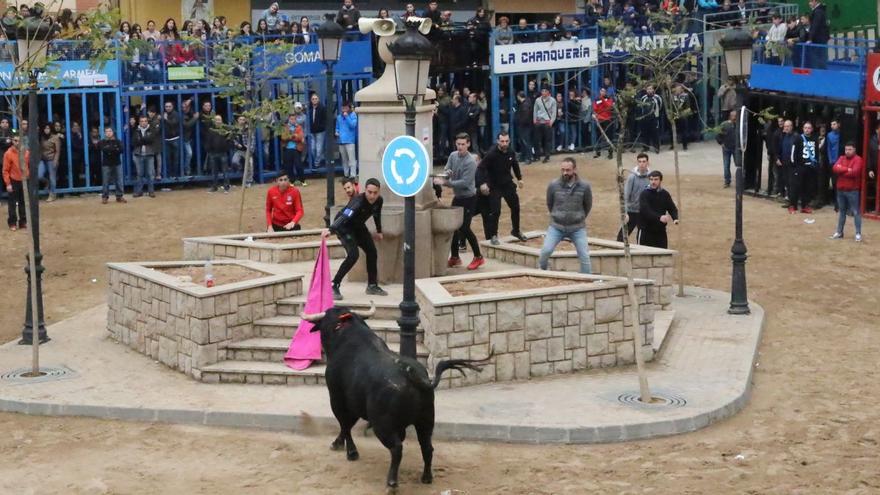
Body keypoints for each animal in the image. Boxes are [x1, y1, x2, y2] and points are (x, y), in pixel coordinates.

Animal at [304, 306, 492, 488]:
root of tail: (415, 377)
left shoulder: (337, 398)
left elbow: (345, 425)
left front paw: (348, 451)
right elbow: (347, 426)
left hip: (383, 425)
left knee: (396, 448)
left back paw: (392, 483)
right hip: (425, 420)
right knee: (427, 447)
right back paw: (426, 477)